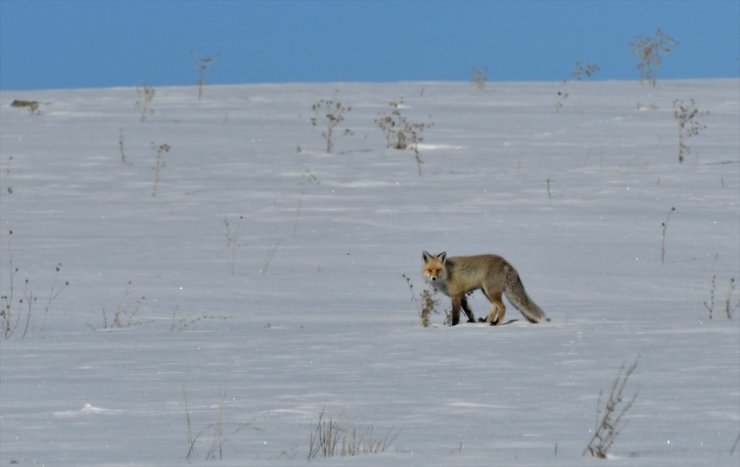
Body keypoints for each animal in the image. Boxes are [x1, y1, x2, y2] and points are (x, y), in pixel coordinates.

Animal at [420, 252, 548, 326]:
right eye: (430, 270)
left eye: (438, 270)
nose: (434, 278)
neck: (447, 274)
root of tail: (506, 263)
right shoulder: (462, 295)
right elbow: (469, 312)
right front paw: (472, 322)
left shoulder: (456, 295)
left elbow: (456, 315)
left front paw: (453, 326)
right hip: (485, 291)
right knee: (495, 307)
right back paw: (487, 321)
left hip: (491, 292)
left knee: (502, 307)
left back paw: (496, 323)